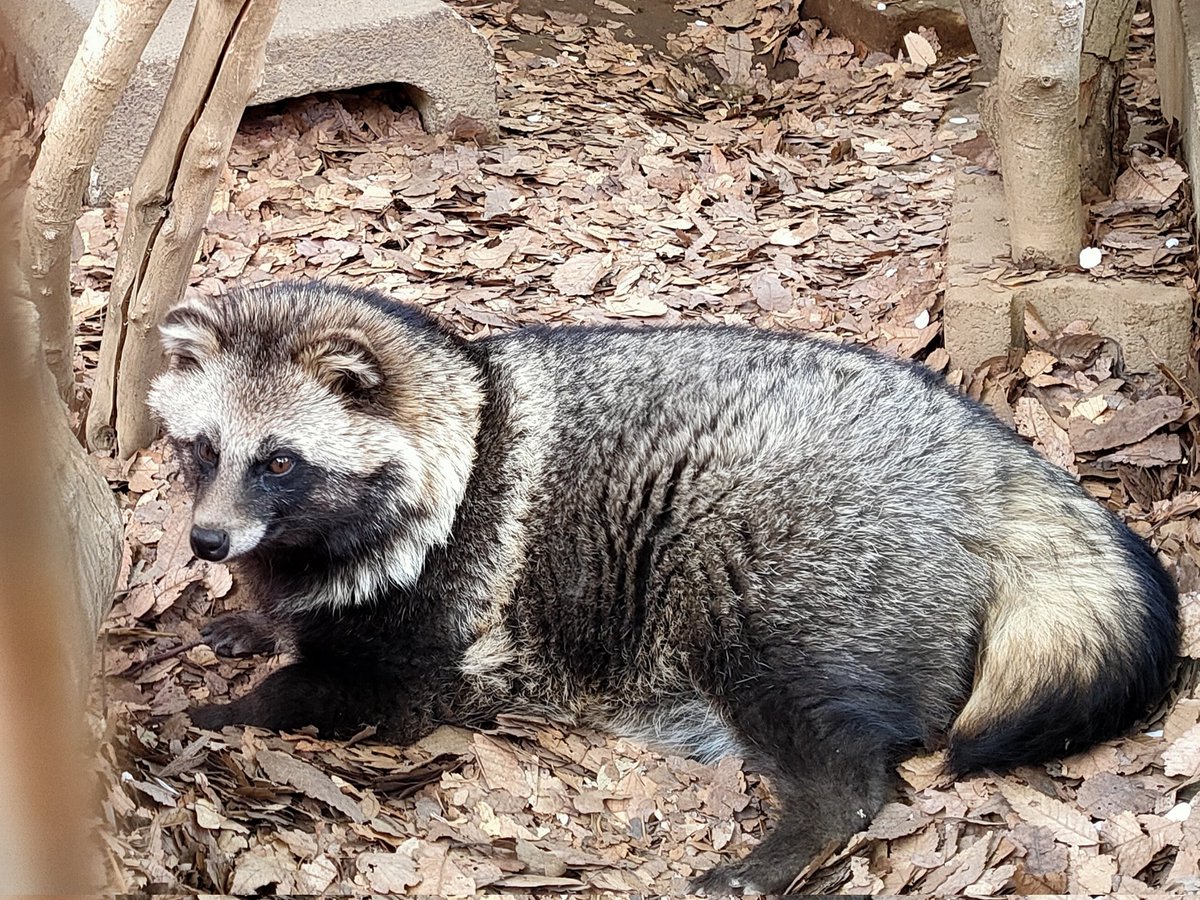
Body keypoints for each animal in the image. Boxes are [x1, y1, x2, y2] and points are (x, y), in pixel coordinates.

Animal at [147, 282, 1171, 897]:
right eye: (204, 449)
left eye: (280, 462)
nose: (207, 540)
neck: (467, 426)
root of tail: (984, 457)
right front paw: (256, 620)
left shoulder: (442, 640)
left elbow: (344, 688)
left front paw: (224, 711)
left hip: (771, 568)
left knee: (825, 739)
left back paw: (799, 831)